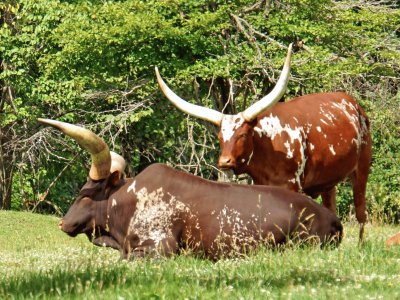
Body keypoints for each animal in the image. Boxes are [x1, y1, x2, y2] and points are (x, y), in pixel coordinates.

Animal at [155, 44, 372, 241]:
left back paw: (360, 245)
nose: (224, 162)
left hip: (362, 169)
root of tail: (354, 104)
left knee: (361, 212)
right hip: (328, 181)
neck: (267, 144)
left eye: (243, 135)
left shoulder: (292, 186)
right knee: (331, 209)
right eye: (220, 137)